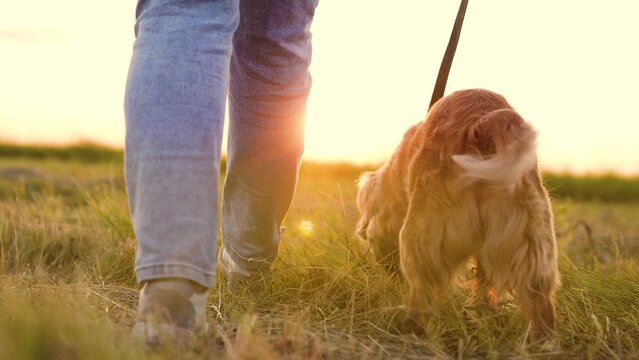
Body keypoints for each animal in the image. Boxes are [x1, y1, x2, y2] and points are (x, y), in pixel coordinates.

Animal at [358, 88, 564, 342]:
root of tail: (481, 123)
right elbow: (484, 283)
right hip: (535, 249)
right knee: (541, 309)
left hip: (422, 242)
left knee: (422, 297)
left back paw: (409, 332)